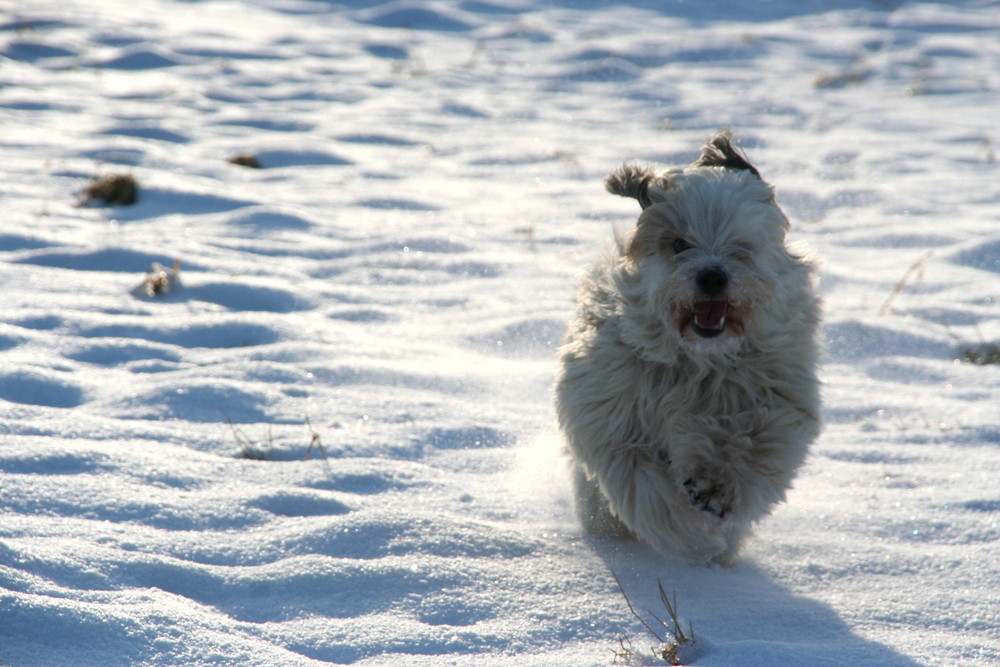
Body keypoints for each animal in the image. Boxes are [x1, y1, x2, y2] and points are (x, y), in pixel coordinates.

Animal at [556, 133, 820, 568]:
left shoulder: (775, 396)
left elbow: (755, 443)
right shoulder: (615, 416)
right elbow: (644, 484)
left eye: (741, 246)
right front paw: (692, 535)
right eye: (678, 244)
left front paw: (717, 486)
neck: (699, 359)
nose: (712, 276)